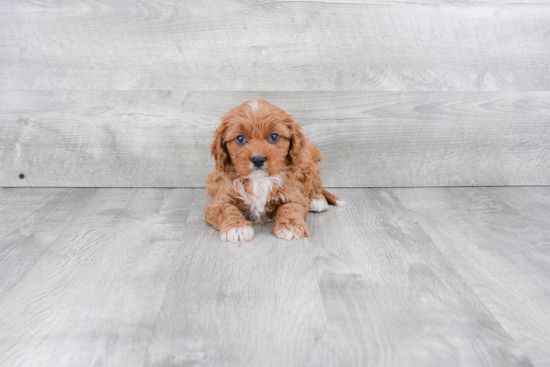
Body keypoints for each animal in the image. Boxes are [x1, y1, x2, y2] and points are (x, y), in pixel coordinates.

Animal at [205, 99, 342, 243]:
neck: (259, 179)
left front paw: (291, 226)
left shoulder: (294, 194)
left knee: (316, 184)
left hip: (309, 162)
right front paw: (237, 228)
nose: (258, 159)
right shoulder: (219, 198)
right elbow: (226, 209)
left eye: (274, 136)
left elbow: (289, 207)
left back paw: (317, 199)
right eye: (240, 139)